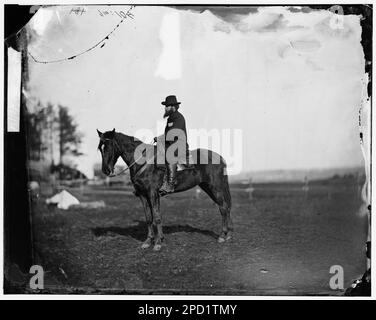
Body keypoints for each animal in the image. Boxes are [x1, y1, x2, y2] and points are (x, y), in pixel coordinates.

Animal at [97, 129, 232, 251]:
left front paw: (158, 243)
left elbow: (157, 217)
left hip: (215, 187)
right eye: (100, 148)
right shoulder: (143, 195)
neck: (143, 162)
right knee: (224, 207)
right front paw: (148, 241)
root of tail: (220, 158)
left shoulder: (152, 193)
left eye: (108, 146)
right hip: (207, 187)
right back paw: (227, 234)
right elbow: (149, 218)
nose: (105, 170)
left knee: (223, 207)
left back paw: (222, 236)